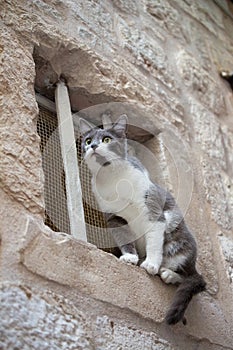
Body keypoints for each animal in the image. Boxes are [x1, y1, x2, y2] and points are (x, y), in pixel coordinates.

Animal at [78, 115, 206, 326]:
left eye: (106, 139)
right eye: (88, 141)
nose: (93, 146)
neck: (113, 178)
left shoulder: (153, 211)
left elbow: (153, 241)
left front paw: (151, 264)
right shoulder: (114, 217)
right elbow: (123, 237)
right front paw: (130, 257)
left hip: (179, 242)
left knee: (197, 279)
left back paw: (168, 273)